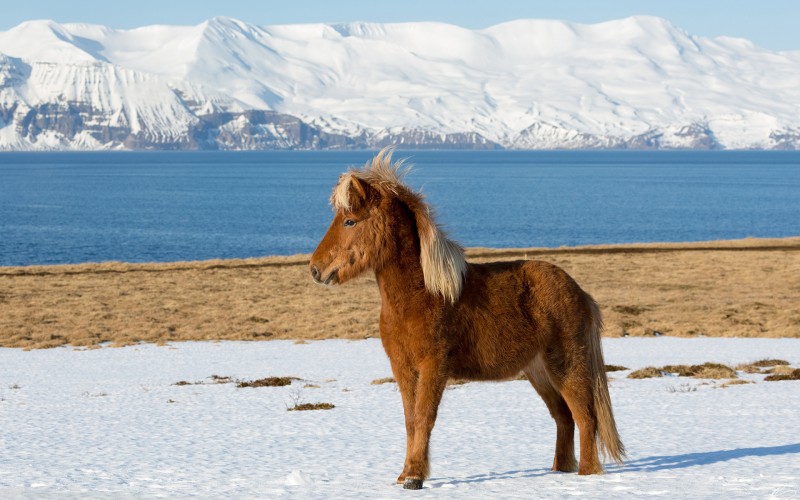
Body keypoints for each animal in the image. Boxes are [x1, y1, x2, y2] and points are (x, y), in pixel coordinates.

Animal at [310, 148, 628, 488]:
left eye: (349, 221)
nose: (315, 269)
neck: (422, 294)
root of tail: (579, 293)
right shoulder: (403, 367)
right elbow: (410, 420)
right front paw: (405, 473)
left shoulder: (434, 366)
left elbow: (424, 417)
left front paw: (415, 476)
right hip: (538, 371)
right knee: (564, 417)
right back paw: (560, 469)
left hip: (566, 365)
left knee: (585, 416)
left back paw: (586, 474)